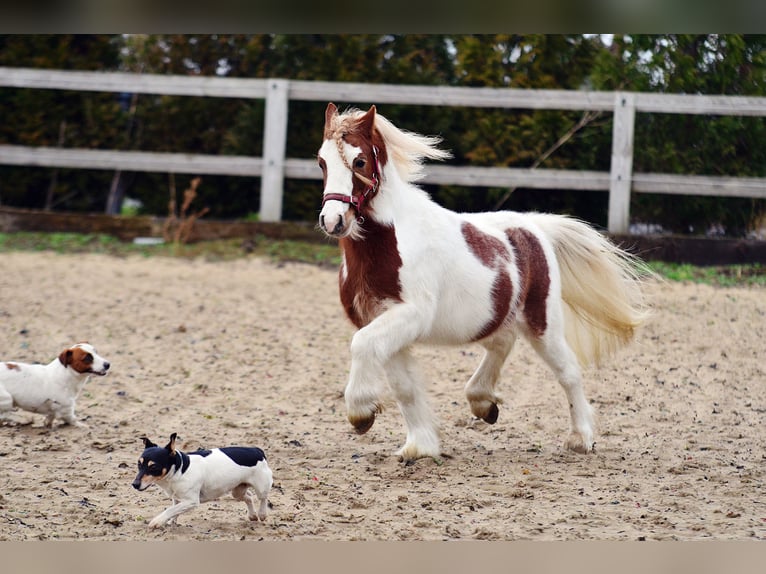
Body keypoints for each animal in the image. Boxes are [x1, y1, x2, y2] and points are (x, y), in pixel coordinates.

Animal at [132, 434, 272, 528]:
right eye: (139, 464)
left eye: (153, 466)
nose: (134, 484)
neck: (180, 470)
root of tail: (256, 450)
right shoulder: (177, 498)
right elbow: (174, 509)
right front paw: (171, 521)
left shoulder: (192, 501)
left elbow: (170, 510)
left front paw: (157, 521)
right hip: (237, 491)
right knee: (249, 496)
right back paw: (252, 515)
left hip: (261, 486)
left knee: (263, 498)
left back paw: (262, 514)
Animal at [316, 102, 652, 464]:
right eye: (322, 161)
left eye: (360, 161)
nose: (333, 221)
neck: (390, 242)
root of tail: (534, 227)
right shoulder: (382, 321)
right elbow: (402, 386)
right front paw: (420, 446)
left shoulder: (411, 315)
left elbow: (361, 346)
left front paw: (361, 413)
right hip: (499, 316)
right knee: (502, 343)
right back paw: (483, 402)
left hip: (542, 323)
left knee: (568, 370)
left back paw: (580, 438)